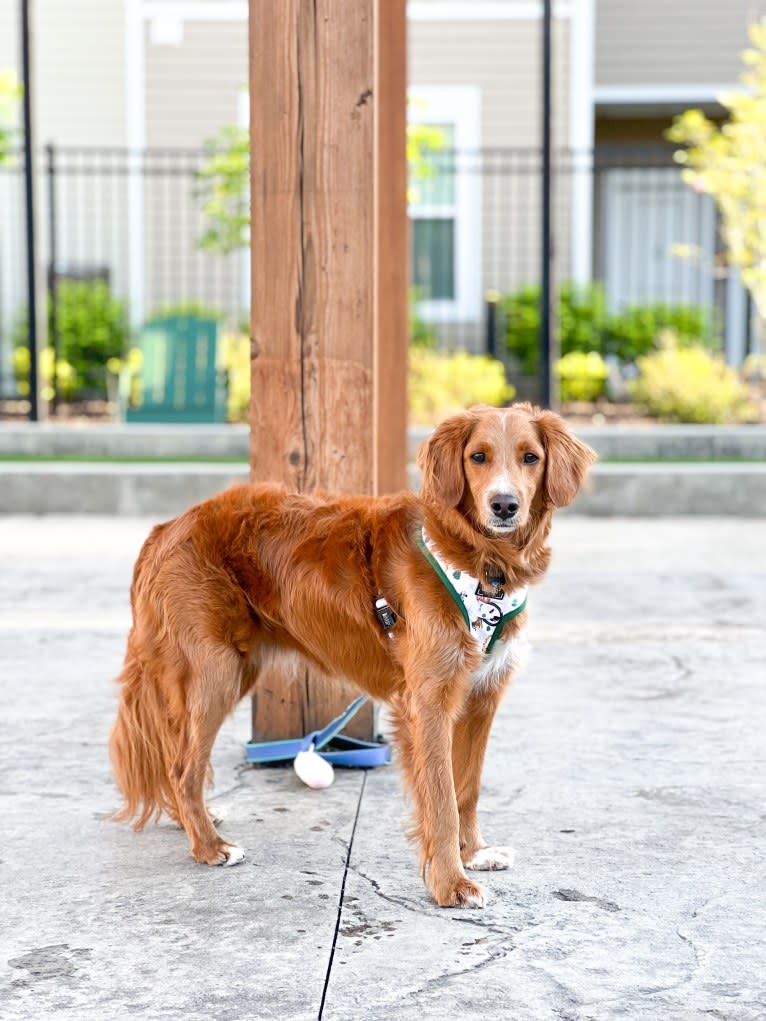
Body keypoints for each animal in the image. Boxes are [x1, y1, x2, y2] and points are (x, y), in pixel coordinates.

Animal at [109, 402, 600, 906]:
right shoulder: (428, 702)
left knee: (177, 760)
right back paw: (209, 846)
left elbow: (467, 788)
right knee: (181, 767)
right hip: (216, 672)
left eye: (530, 457)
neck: (480, 562)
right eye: (478, 457)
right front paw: (451, 883)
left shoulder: (481, 698)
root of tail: (167, 527)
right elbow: (442, 798)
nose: (504, 505)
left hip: (235, 668)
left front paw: (475, 853)